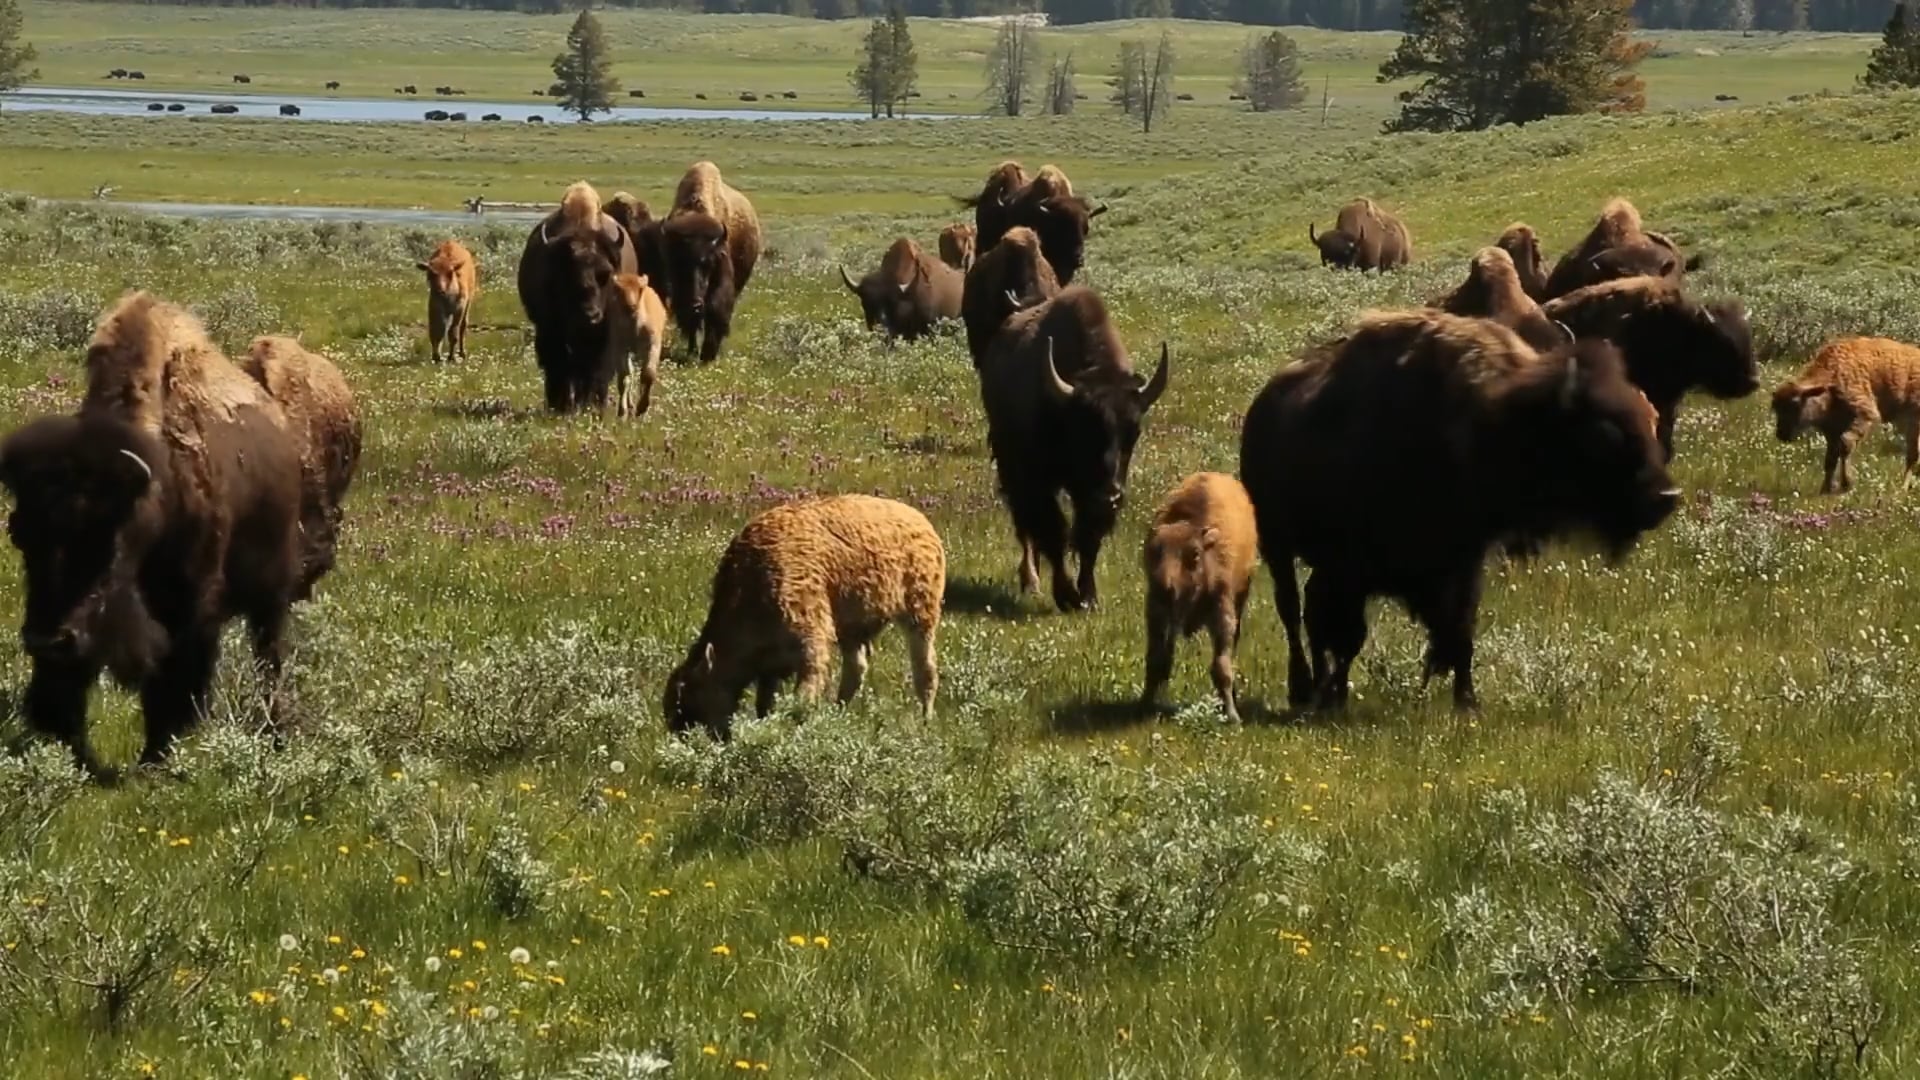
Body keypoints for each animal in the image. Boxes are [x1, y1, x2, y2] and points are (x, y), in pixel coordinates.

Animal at [516, 181, 640, 413]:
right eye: (566, 273)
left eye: (606, 273)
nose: (589, 315)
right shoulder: (550, 328)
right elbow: (560, 364)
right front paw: (560, 404)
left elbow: (597, 367)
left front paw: (594, 403)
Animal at [978, 287, 1170, 611]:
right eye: (1084, 430)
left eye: (1134, 432)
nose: (1110, 496)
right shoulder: (1036, 482)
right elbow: (1054, 532)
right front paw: (1066, 595)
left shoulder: (1087, 495)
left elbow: (1087, 539)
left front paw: (1088, 597)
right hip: (1009, 468)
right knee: (1025, 528)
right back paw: (1031, 582)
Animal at [1239, 311, 1678, 710]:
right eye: (1603, 434)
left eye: (1650, 419)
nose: (1666, 495)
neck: (1487, 423)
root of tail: (1262, 406)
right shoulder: (1354, 568)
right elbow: (1347, 633)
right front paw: (1334, 696)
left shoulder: (1461, 564)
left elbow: (1460, 630)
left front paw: (1467, 702)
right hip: (1276, 545)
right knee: (1293, 611)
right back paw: (1303, 688)